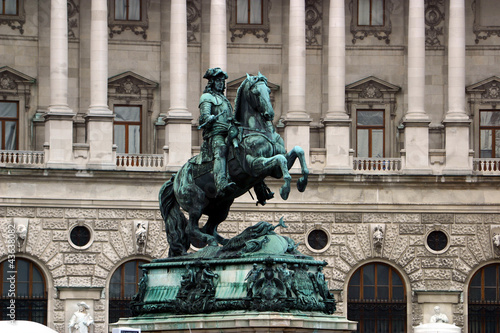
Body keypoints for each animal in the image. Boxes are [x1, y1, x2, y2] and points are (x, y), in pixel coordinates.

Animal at [160, 73, 308, 256]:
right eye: (256, 93)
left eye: (268, 91)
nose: (269, 114)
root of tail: (175, 178)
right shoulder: (255, 166)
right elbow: (281, 160)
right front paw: (286, 189)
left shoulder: (275, 170)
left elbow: (297, 151)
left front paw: (302, 182)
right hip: (196, 202)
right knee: (192, 228)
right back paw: (218, 242)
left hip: (221, 206)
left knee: (209, 227)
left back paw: (234, 241)